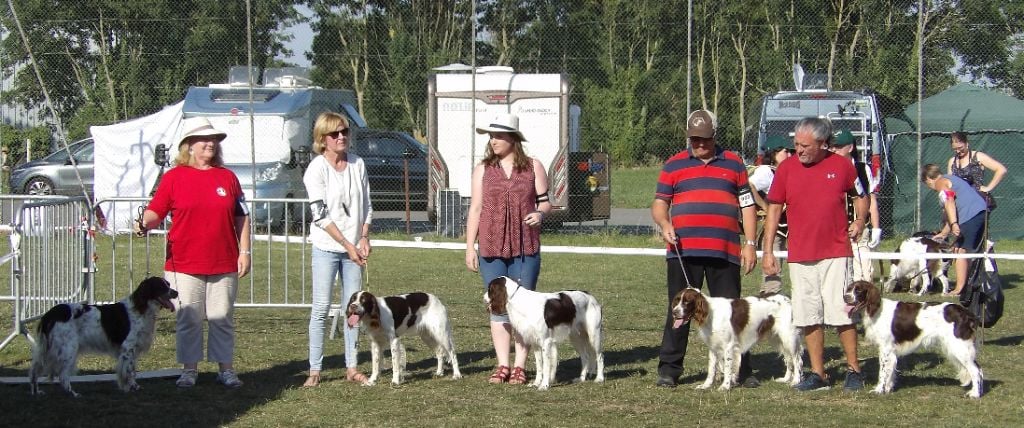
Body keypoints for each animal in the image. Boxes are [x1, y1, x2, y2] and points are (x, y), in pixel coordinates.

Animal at [29, 276, 178, 395]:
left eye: (168, 284)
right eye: (161, 286)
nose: (176, 293)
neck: (142, 308)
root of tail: (50, 314)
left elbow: (132, 370)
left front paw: (129, 387)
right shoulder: (128, 348)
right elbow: (129, 370)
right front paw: (132, 387)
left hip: (48, 349)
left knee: (35, 370)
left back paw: (36, 392)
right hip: (68, 349)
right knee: (63, 375)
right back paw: (73, 394)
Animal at [671, 286, 806, 391]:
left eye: (687, 302)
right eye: (677, 300)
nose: (674, 312)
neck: (710, 314)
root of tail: (788, 298)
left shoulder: (729, 346)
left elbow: (727, 367)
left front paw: (725, 386)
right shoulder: (713, 347)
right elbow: (711, 369)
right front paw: (705, 386)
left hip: (789, 337)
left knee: (796, 359)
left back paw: (796, 380)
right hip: (778, 338)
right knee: (788, 359)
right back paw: (786, 379)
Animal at [843, 280, 978, 397]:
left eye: (859, 290)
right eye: (849, 289)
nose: (845, 297)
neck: (876, 310)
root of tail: (964, 312)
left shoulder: (885, 348)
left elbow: (882, 372)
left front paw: (879, 390)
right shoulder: (891, 351)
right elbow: (890, 371)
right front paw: (888, 389)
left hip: (959, 347)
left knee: (976, 371)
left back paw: (975, 394)